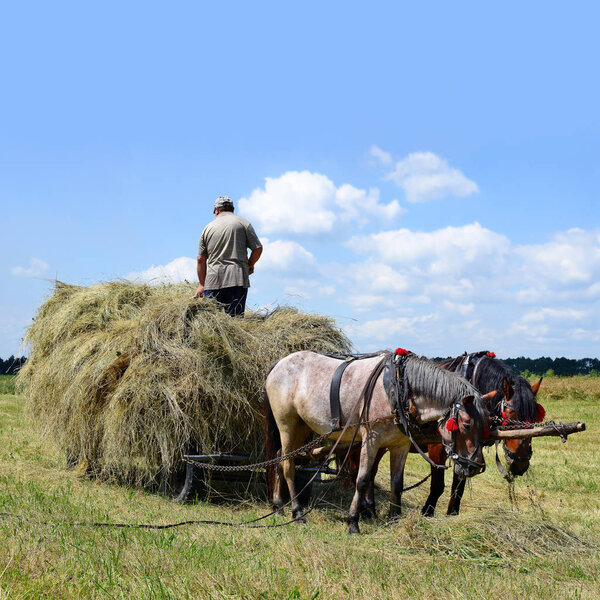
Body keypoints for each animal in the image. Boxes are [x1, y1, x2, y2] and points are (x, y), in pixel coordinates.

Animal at [264, 350, 494, 532]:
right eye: (466, 424)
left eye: (485, 424)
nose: (475, 466)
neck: (398, 390)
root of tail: (279, 363)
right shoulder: (370, 441)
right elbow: (362, 479)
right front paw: (353, 522)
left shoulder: (400, 445)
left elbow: (397, 484)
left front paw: (394, 519)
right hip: (286, 424)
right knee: (287, 464)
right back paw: (297, 512)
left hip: (302, 426)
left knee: (279, 458)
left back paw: (277, 505)